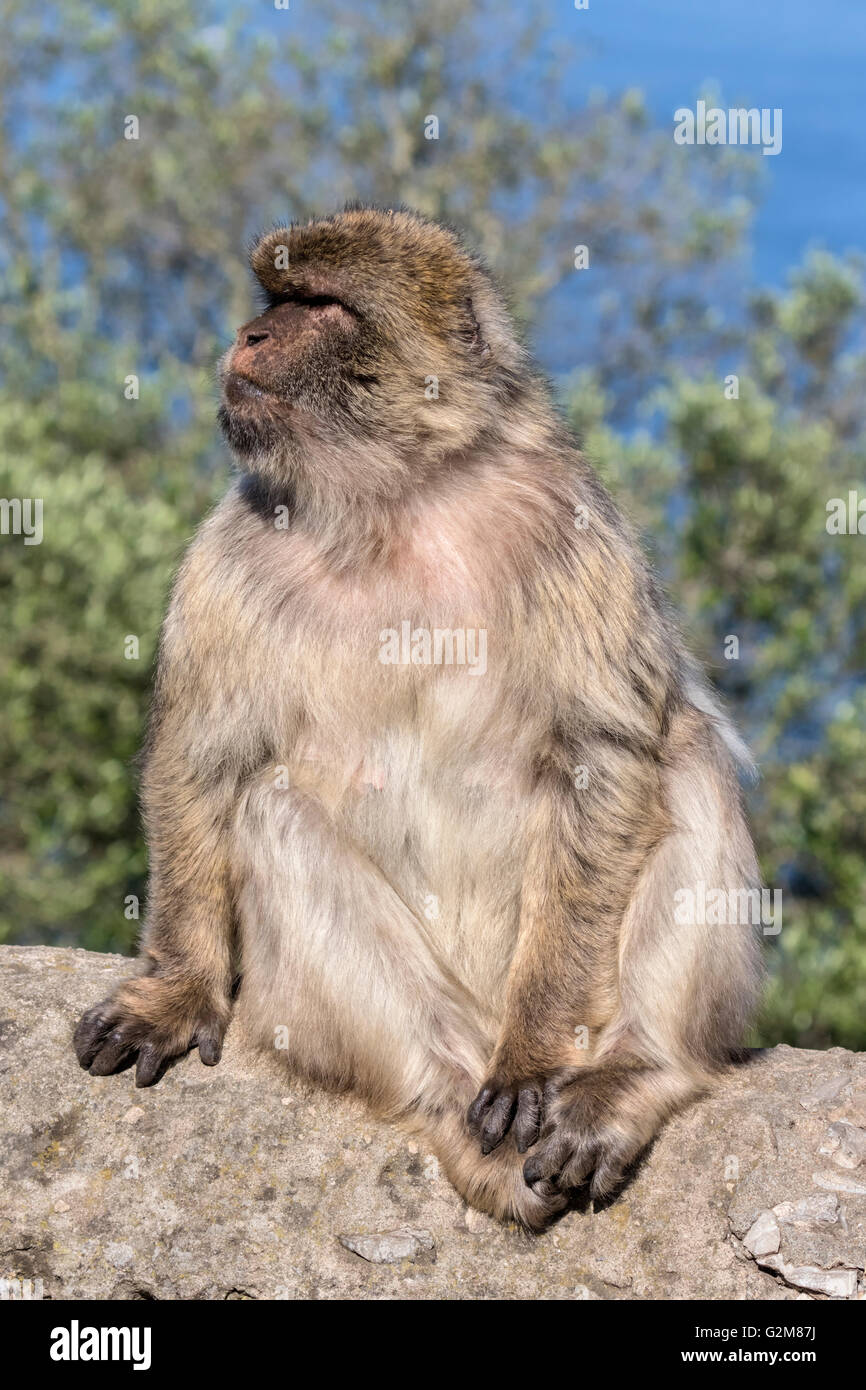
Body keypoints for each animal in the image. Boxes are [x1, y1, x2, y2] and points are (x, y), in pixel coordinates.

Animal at [73, 206, 763, 1231]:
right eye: (273, 297)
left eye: (315, 305)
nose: (248, 336)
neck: (394, 500)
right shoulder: (230, 549)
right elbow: (203, 760)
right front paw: (179, 989)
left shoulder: (569, 524)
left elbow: (605, 753)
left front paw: (538, 1054)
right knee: (272, 813)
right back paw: (444, 1092)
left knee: (686, 759)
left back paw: (626, 1078)